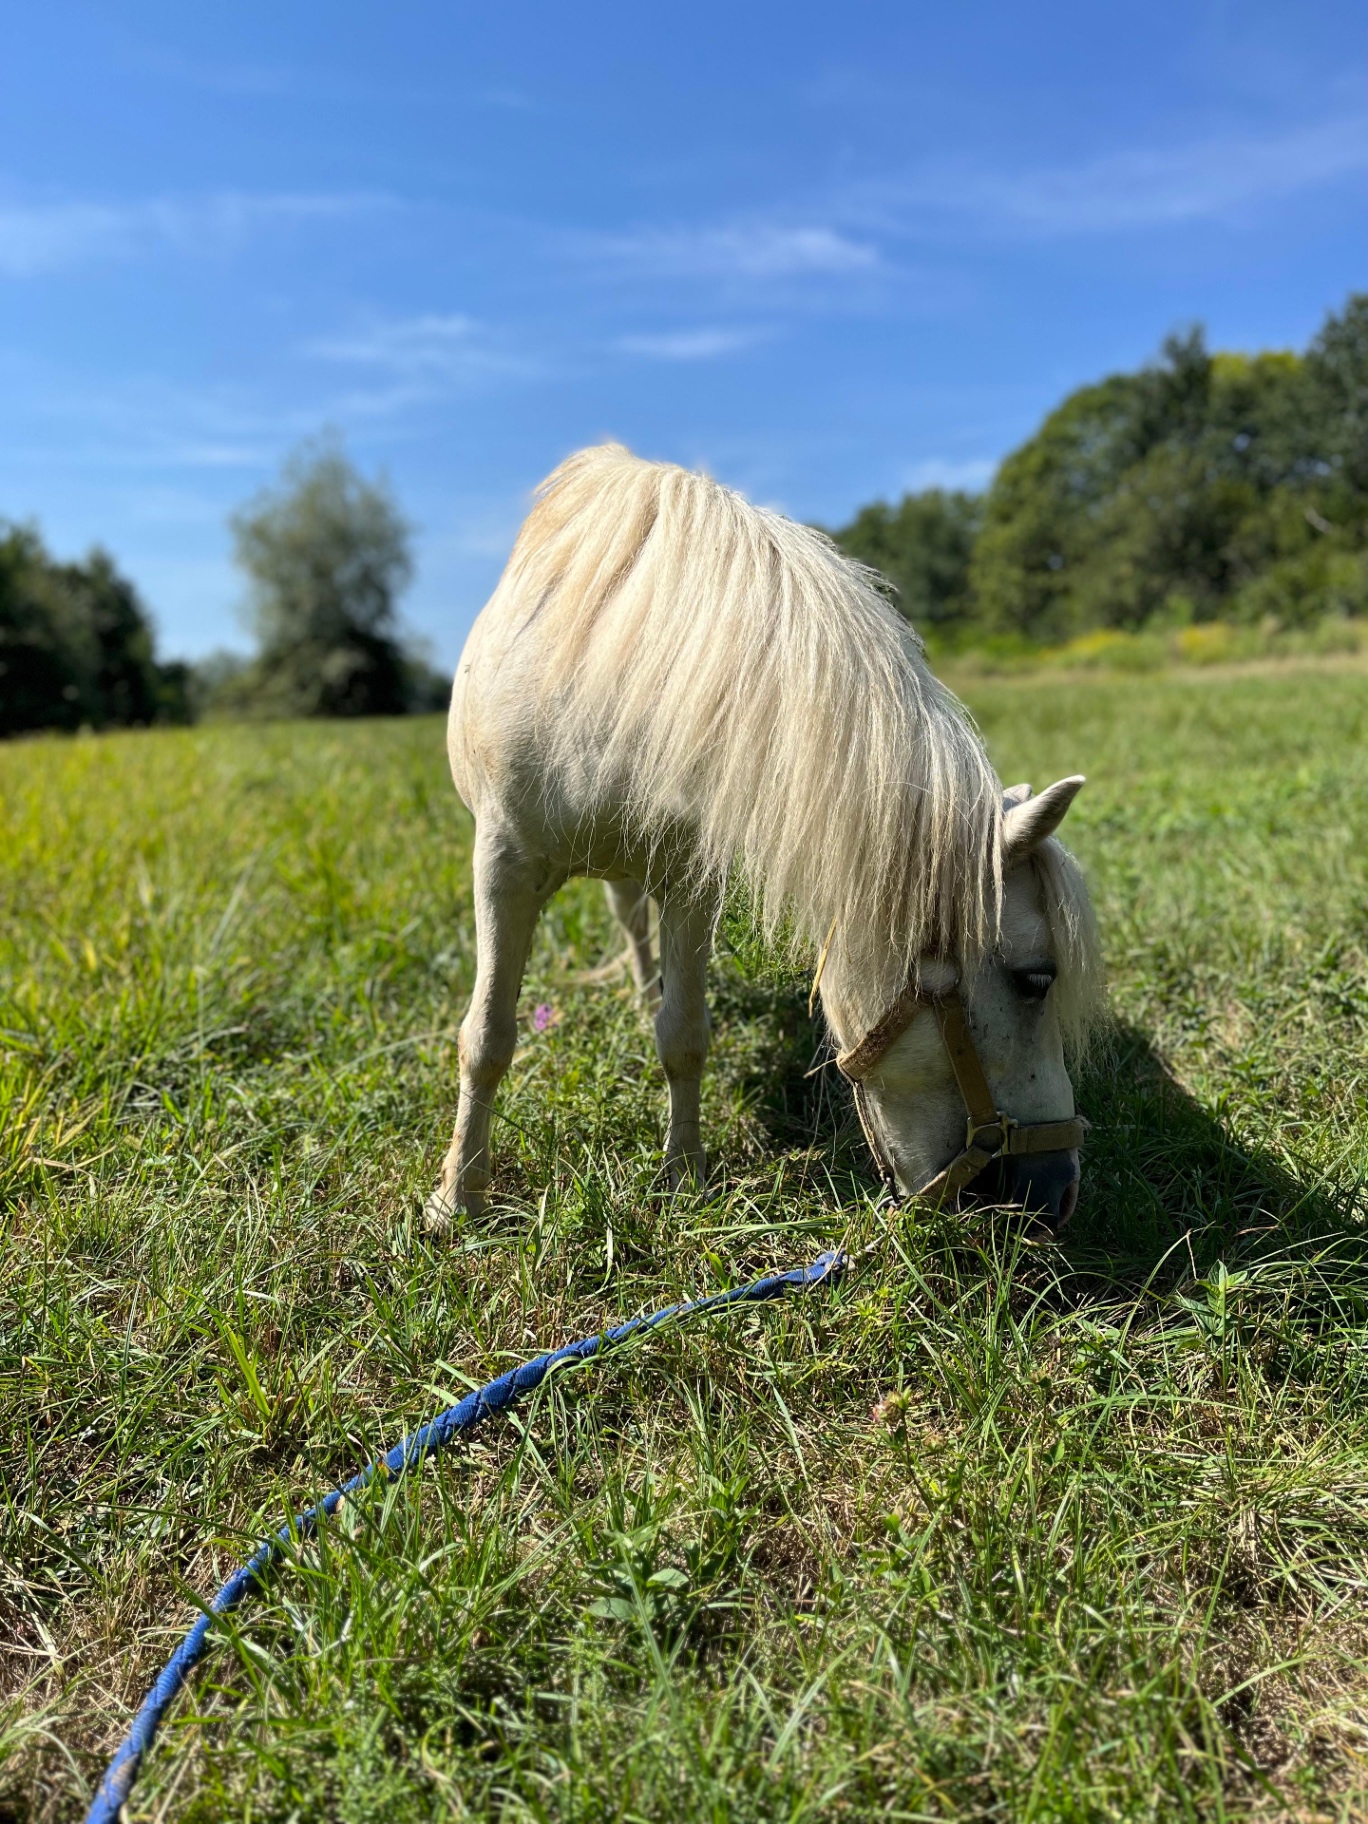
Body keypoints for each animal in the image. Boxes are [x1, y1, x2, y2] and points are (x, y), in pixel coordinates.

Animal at [428, 444, 1104, 1229]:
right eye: (1036, 979)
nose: (1057, 1192)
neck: (618, 676)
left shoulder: (687, 881)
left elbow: (684, 1036)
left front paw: (682, 1178)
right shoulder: (503, 864)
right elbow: (487, 1036)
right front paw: (458, 1199)